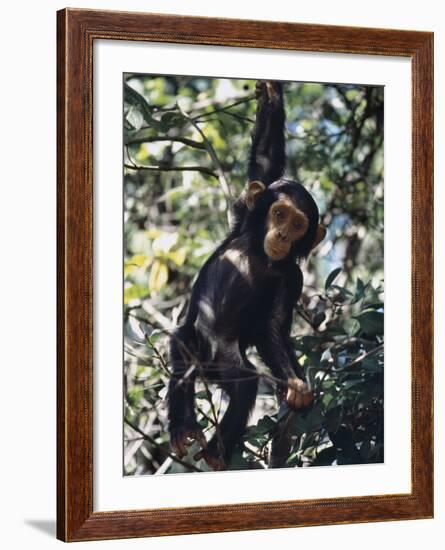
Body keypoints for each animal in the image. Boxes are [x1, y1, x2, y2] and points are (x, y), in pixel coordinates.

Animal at [167, 80, 326, 472]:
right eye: (280, 214)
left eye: (298, 225)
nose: (282, 235)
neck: (259, 252)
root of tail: (208, 368)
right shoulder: (243, 213)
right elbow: (265, 164)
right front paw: (270, 94)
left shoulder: (293, 278)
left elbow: (273, 327)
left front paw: (296, 385)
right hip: (195, 343)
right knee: (181, 349)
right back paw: (182, 427)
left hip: (227, 362)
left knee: (244, 386)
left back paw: (215, 451)